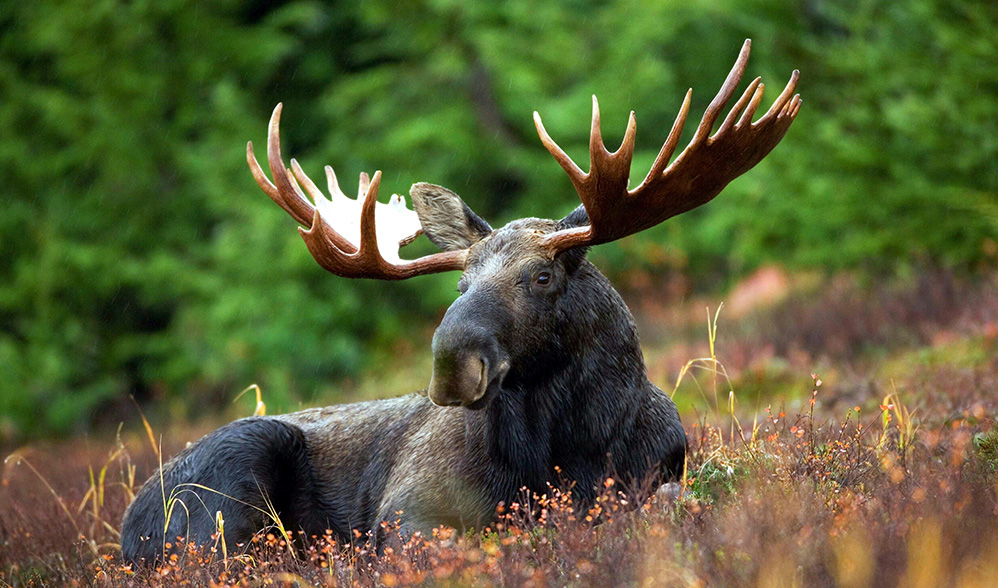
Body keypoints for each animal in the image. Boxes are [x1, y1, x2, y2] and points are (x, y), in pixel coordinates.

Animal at [120, 39, 800, 564]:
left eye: (542, 277)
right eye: (460, 284)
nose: (452, 363)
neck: (567, 450)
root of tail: (127, 529)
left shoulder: (658, 476)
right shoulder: (407, 512)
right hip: (231, 480)